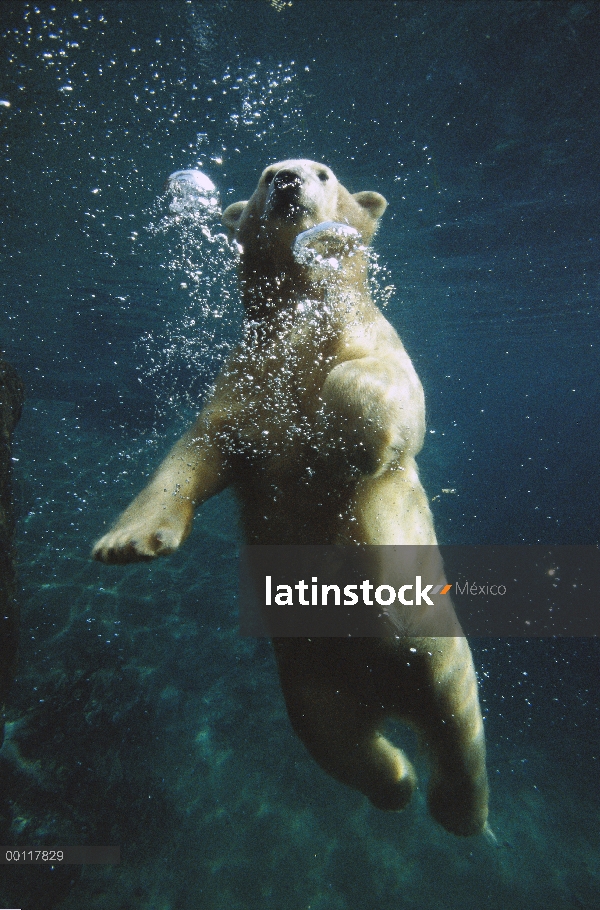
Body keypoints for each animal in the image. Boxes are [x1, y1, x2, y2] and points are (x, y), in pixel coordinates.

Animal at [92, 160, 488, 836]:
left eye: (324, 172)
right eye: (262, 175)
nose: (286, 179)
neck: (299, 311)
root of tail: (382, 692)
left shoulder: (369, 337)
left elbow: (386, 392)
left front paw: (346, 440)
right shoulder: (242, 382)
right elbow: (194, 456)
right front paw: (126, 542)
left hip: (434, 647)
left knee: (457, 721)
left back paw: (457, 810)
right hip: (310, 677)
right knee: (335, 739)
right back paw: (397, 782)